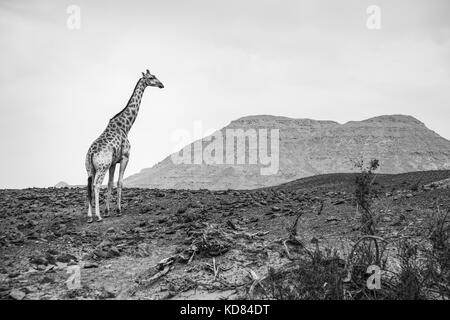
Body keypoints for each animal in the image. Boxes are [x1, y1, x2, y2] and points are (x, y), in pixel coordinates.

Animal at [84, 69, 163, 222]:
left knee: (89, 186)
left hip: (90, 169)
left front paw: (108, 211)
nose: (162, 85)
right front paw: (118, 210)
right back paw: (98, 216)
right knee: (96, 186)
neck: (126, 126)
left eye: (156, 76)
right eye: (151, 78)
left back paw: (90, 216)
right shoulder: (125, 157)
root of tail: (91, 153)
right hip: (102, 167)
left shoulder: (113, 162)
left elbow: (110, 183)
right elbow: (120, 182)